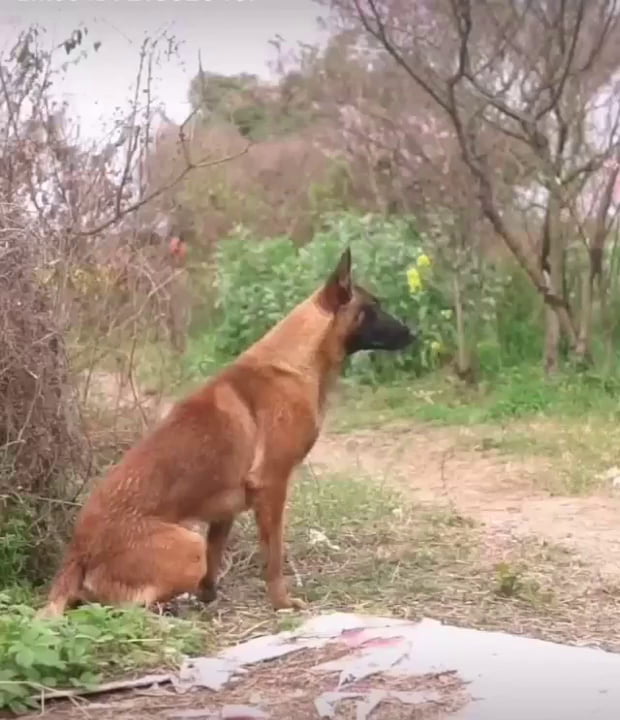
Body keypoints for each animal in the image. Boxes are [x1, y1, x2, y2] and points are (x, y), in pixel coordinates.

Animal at [38, 249, 416, 620]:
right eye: (373, 309)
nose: (413, 334)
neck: (294, 361)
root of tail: (76, 552)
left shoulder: (225, 510)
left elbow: (215, 558)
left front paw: (208, 596)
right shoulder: (272, 486)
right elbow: (273, 557)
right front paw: (281, 603)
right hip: (187, 545)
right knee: (121, 606)